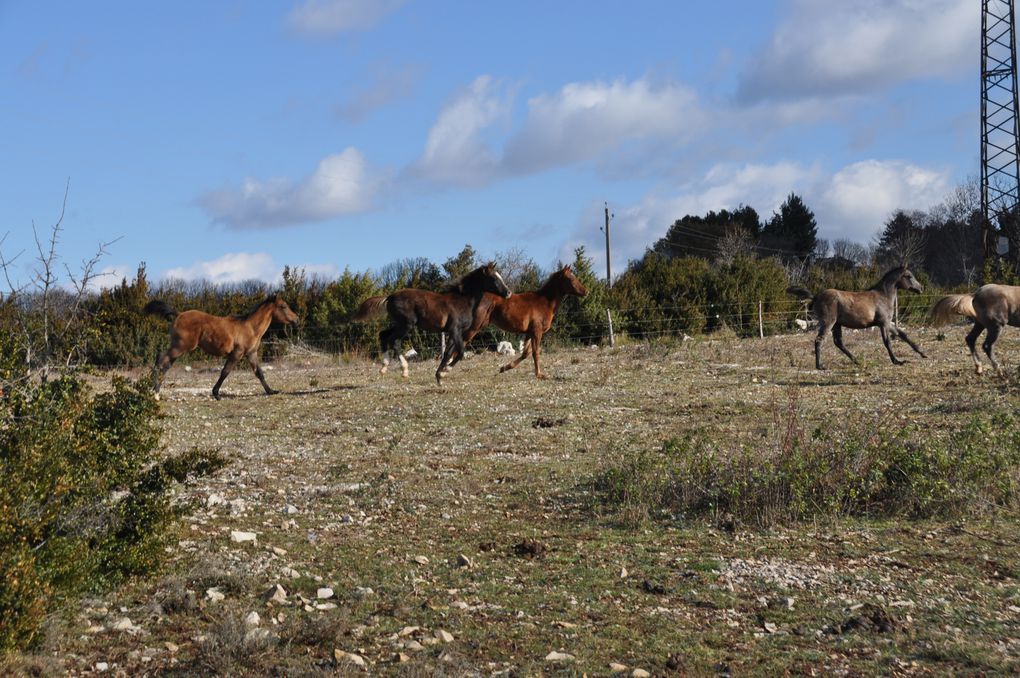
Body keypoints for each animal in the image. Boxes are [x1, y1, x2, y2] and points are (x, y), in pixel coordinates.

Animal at [145, 291, 299, 399]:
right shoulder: (237, 353)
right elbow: (225, 371)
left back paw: (156, 391)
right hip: (181, 347)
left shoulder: (251, 353)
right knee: (161, 358)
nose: (296, 319)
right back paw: (154, 391)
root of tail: (179, 314)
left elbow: (259, 373)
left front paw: (271, 391)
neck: (250, 327)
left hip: (178, 348)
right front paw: (216, 393)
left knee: (166, 364)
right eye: (283, 306)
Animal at [352, 261, 510, 383]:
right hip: (407, 324)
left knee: (383, 335)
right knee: (393, 340)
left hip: (399, 323)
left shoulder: (453, 332)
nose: (508, 293)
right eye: (494, 278)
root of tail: (390, 296)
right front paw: (445, 371)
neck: (463, 300)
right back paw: (404, 370)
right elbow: (460, 352)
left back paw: (384, 367)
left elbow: (448, 353)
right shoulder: (455, 329)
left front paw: (439, 376)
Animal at [463, 265, 591, 377]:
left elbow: (526, 353)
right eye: (571, 278)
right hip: (475, 326)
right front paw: (539, 374)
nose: (586, 292)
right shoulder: (537, 331)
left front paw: (504, 368)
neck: (545, 302)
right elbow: (536, 353)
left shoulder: (529, 333)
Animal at [783, 265, 930, 371]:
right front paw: (897, 361)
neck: (883, 296)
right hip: (828, 322)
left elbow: (903, 335)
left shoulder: (888, 323)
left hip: (837, 324)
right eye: (909, 276)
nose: (921, 288)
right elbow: (887, 342)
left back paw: (856, 360)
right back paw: (820, 366)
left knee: (838, 342)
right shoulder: (883, 323)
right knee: (819, 340)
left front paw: (923, 354)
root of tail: (816, 297)